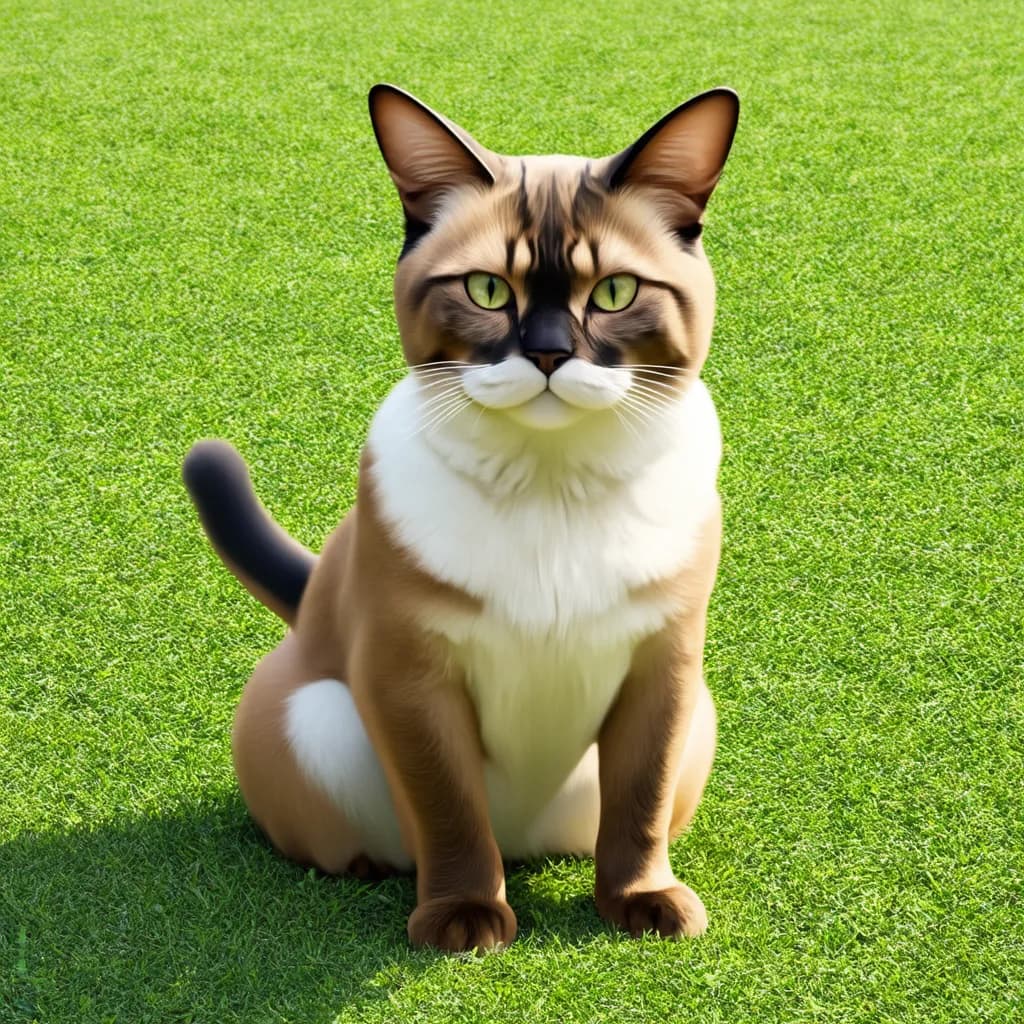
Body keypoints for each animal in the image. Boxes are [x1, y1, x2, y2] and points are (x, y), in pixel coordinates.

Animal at [184, 83, 741, 954]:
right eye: (487, 290)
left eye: (614, 293)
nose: (547, 353)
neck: (550, 485)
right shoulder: (411, 673)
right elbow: (446, 808)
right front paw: (464, 919)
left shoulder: (666, 665)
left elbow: (641, 798)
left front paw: (643, 902)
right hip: (315, 717)